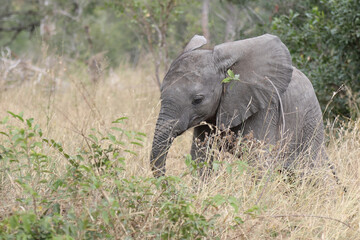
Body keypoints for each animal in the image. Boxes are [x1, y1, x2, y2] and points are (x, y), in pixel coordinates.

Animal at [149, 33, 326, 177]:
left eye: (198, 100)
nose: (167, 181)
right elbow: (201, 158)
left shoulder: (264, 108)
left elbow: (260, 163)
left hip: (311, 123)